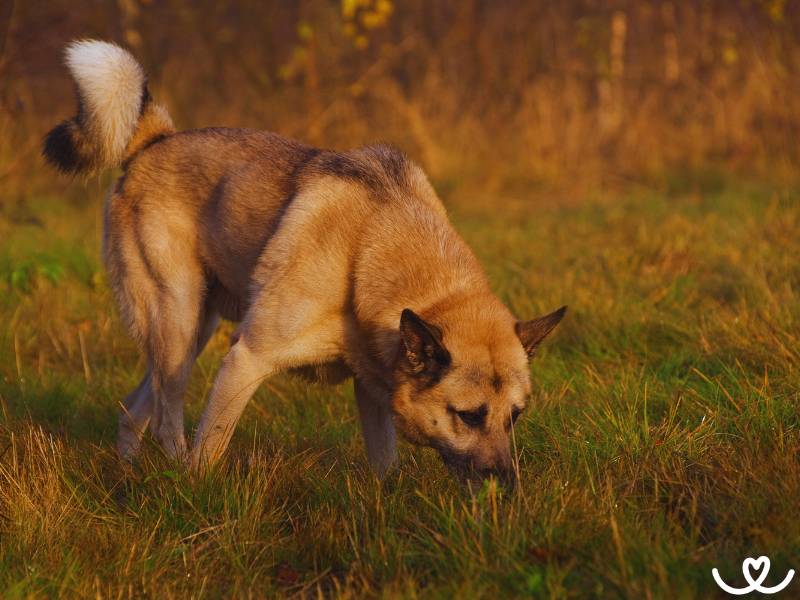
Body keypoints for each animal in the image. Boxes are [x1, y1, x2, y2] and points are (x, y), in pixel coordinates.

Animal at [42, 39, 564, 482]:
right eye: (469, 416)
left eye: (515, 416)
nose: (506, 484)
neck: (369, 247)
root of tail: (155, 140)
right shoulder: (247, 359)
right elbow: (211, 445)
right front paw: (200, 496)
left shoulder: (373, 386)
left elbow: (385, 465)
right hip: (178, 323)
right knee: (168, 421)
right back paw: (171, 475)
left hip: (192, 333)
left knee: (132, 410)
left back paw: (130, 474)